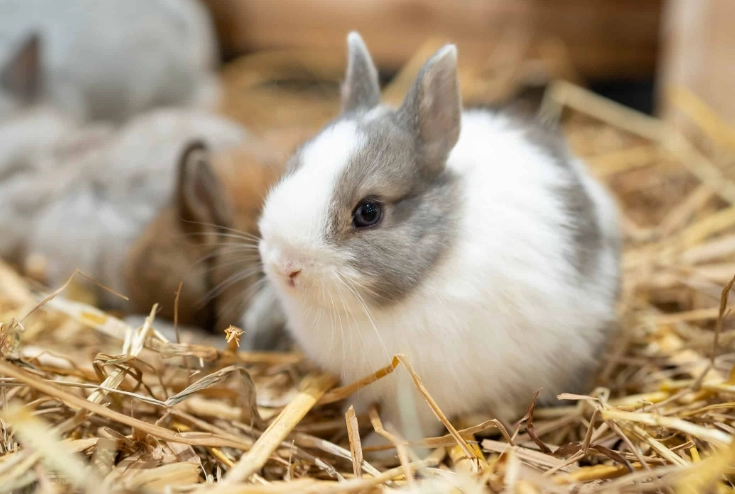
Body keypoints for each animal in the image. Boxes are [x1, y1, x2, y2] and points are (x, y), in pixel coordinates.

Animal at [254, 33, 621, 444]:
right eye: (292, 167)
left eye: (369, 212)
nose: (286, 265)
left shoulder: (425, 391)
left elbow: (409, 427)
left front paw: (387, 447)